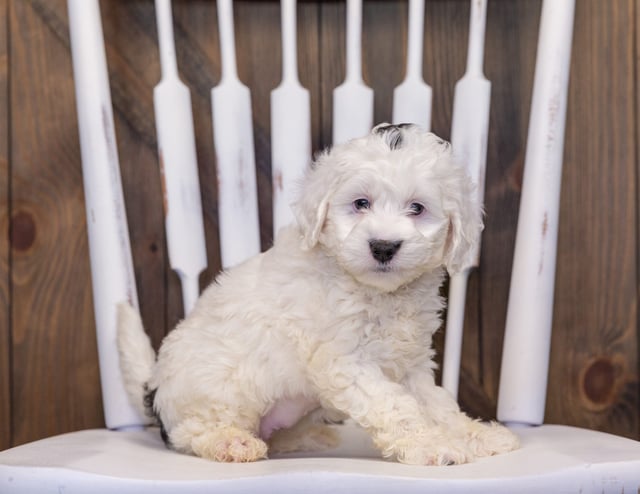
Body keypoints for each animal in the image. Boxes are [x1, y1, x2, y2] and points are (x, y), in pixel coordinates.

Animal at [119, 122, 520, 464]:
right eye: (361, 204)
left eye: (417, 208)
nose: (383, 247)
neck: (377, 292)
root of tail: (153, 387)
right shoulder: (344, 361)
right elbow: (396, 405)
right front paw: (431, 445)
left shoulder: (411, 363)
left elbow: (437, 404)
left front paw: (474, 435)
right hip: (216, 389)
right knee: (192, 431)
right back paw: (231, 442)